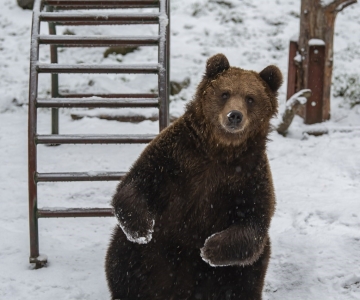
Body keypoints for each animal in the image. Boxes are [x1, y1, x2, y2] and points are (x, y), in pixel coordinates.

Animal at [105, 54, 282, 300]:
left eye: (250, 98)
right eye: (225, 93)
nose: (234, 116)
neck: (219, 150)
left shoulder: (249, 178)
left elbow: (255, 222)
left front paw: (210, 248)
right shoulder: (175, 157)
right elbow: (135, 183)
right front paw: (142, 228)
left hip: (230, 275)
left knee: (248, 276)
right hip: (148, 256)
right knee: (121, 261)